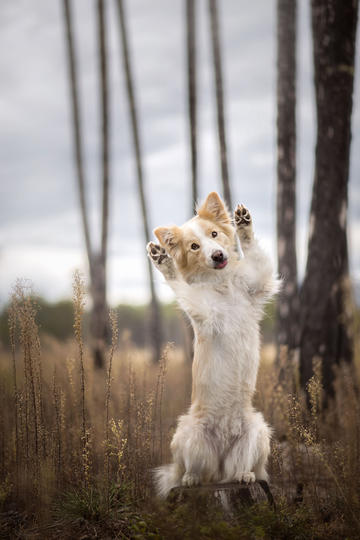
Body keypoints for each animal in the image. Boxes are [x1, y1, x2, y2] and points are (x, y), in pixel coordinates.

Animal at [146, 191, 278, 498]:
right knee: (193, 469)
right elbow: (181, 285)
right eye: (194, 247)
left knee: (240, 467)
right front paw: (163, 261)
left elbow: (254, 251)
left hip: (258, 431)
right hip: (187, 433)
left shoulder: (259, 283)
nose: (217, 255)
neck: (222, 285)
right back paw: (191, 479)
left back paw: (244, 474)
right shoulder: (205, 312)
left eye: (214, 234)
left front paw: (244, 223)